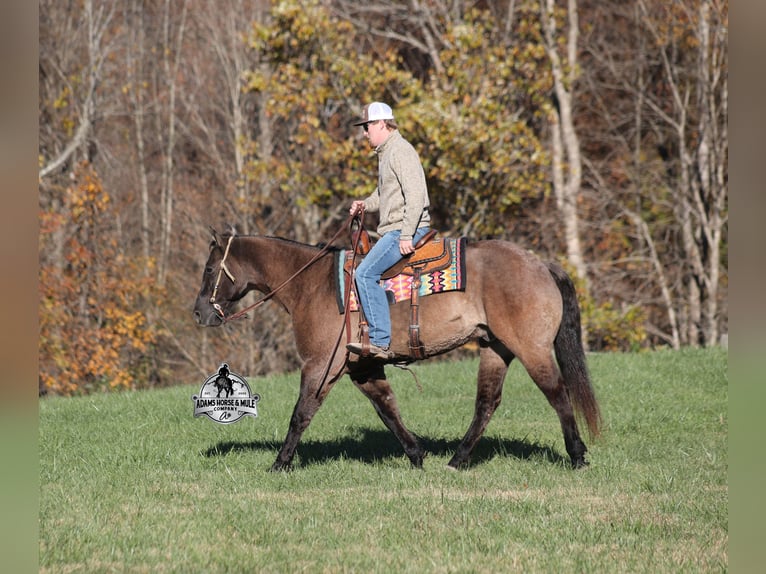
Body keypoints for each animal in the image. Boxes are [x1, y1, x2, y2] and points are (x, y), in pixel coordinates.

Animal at [193, 228, 602, 472]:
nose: (199, 313)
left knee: (558, 393)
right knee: (487, 404)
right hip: (495, 348)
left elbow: (301, 414)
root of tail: (540, 263)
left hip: (532, 348)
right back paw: (457, 460)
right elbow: (387, 409)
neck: (311, 284)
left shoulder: (321, 364)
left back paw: (578, 456)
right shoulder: (363, 367)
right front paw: (417, 455)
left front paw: (280, 463)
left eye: (210, 269)